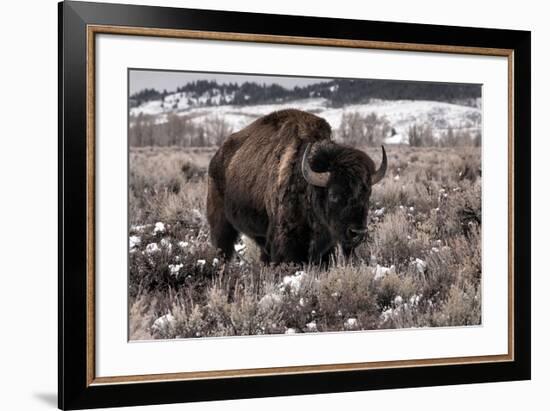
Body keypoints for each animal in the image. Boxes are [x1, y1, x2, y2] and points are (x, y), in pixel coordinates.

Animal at [207, 108, 388, 264]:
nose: (358, 233)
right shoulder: (287, 240)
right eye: (333, 195)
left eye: (367, 194)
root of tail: (217, 157)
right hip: (222, 224)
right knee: (223, 247)